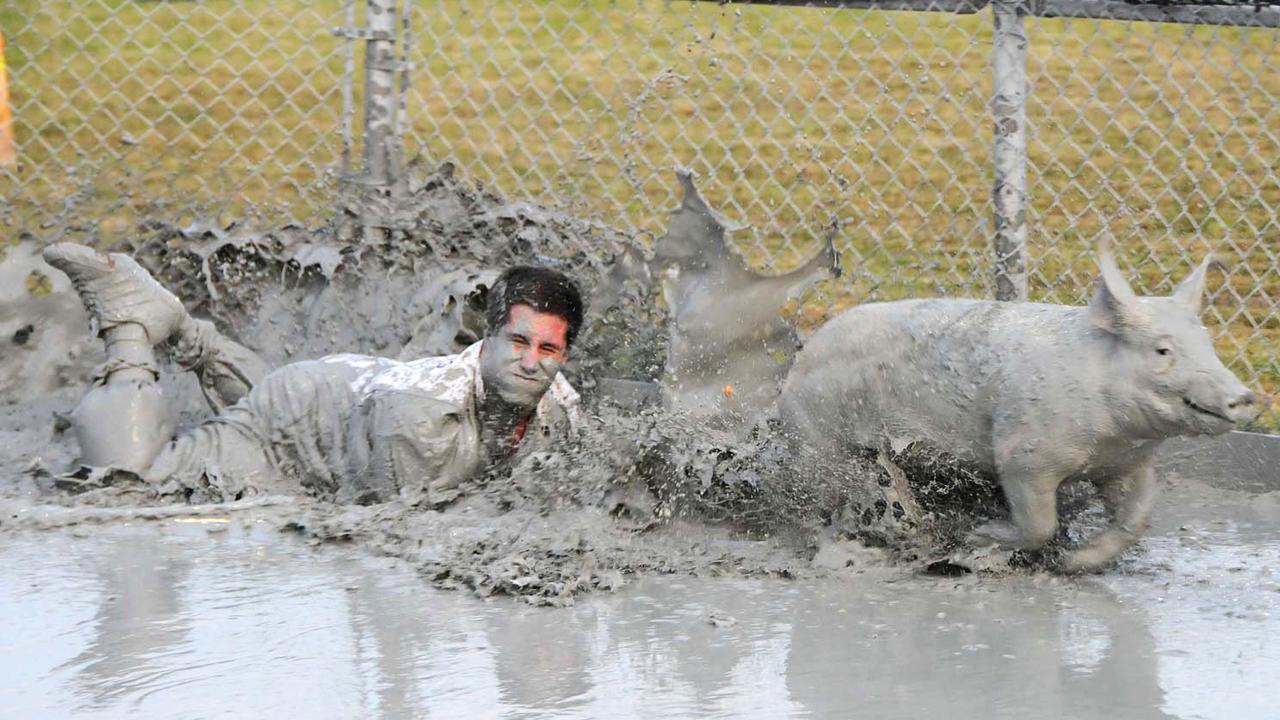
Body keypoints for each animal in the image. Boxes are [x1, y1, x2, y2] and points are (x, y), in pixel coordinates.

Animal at [778, 240, 1259, 571]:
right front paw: (978, 538)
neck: (1109, 434)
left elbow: (1135, 518)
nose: (1244, 396)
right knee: (819, 503)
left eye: (1208, 342)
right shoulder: (1024, 452)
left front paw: (1071, 564)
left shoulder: (1128, 464)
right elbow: (1037, 521)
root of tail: (798, 365)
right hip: (819, 442)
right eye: (1163, 351)